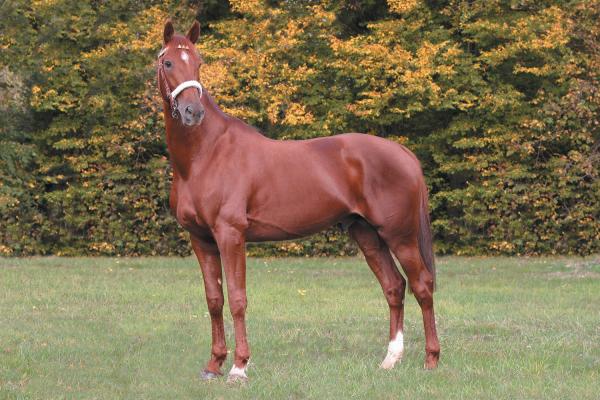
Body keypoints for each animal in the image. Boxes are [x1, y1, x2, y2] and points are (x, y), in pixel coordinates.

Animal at [158, 20, 440, 382]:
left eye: (198, 62)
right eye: (168, 62)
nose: (193, 111)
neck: (205, 155)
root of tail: (403, 152)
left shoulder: (230, 235)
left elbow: (237, 298)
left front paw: (239, 367)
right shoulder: (201, 238)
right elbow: (214, 299)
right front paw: (213, 365)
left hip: (399, 235)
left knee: (422, 286)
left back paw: (431, 359)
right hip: (367, 233)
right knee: (394, 286)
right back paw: (390, 359)